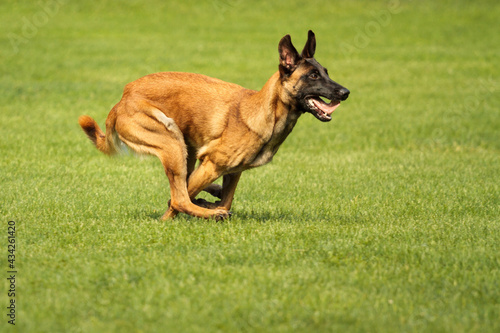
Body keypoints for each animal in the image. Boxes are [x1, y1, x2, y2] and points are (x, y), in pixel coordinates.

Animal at [80, 29, 350, 219]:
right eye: (313, 76)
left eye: (326, 72)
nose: (345, 92)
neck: (265, 111)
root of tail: (122, 100)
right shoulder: (212, 164)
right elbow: (179, 200)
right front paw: (199, 211)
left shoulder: (233, 171)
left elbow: (223, 198)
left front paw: (211, 201)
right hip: (171, 141)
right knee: (179, 197)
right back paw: (209, 212)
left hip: (185, 149)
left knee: (185, 187)